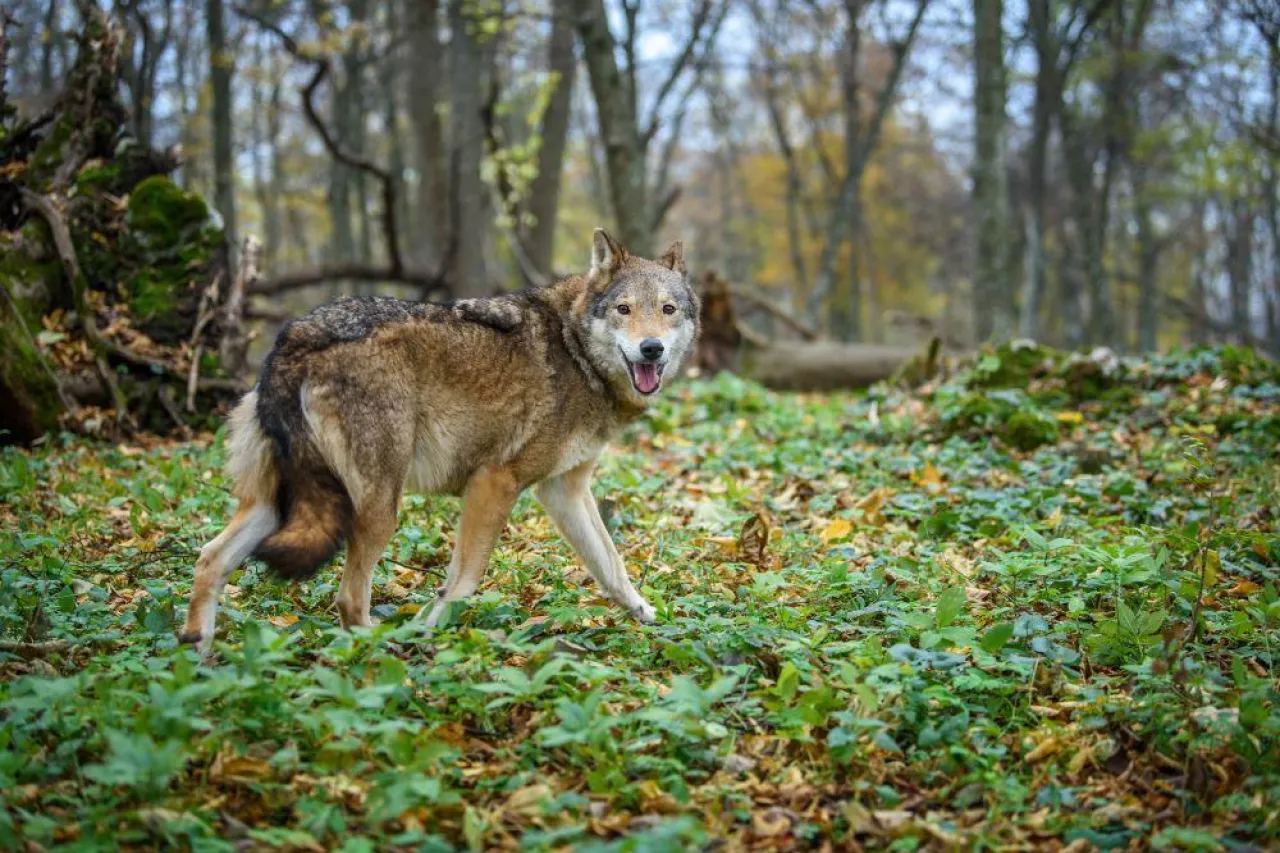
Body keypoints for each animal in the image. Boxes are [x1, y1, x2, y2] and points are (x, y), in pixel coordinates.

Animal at [177, 229, 701, 648]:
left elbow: (611, 565)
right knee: (348, 600)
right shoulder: (495, 482)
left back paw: (199, 660)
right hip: (377, 508)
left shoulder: (563, 490)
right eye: (624, 310)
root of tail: (296, 336)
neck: (576, 353)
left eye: (667, 310)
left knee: (208, 559)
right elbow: (463, 581)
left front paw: (648, 616)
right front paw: (429, 630)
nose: (651, 348)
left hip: (281, 505)